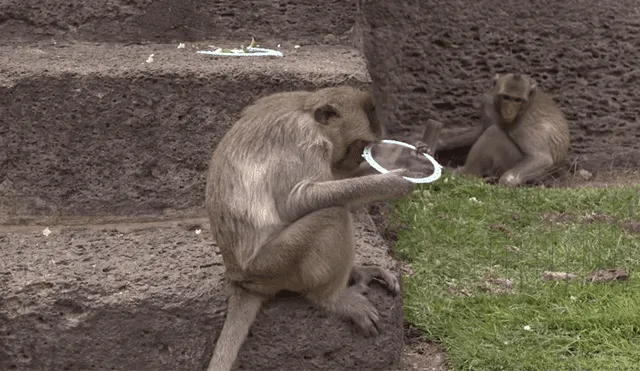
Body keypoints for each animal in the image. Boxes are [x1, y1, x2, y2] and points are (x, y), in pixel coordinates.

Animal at [204, 85, 416, 370]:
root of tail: (240, 279)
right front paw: (393, 182)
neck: (307, 110)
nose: (357, 160)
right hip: (272, 266)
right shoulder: (305, 140)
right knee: (332, 214)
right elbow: (299, 198)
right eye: (359, 146)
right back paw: (333, 299)